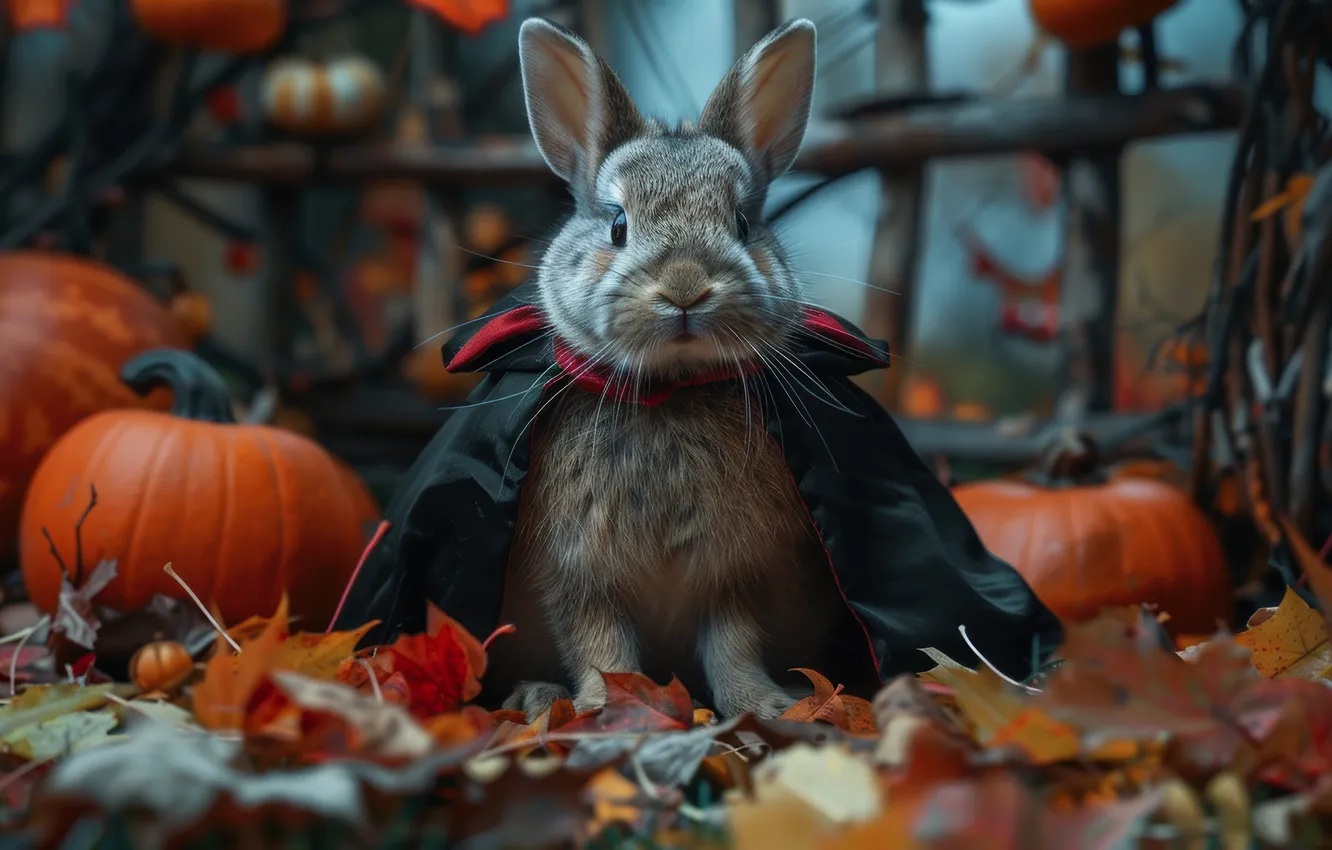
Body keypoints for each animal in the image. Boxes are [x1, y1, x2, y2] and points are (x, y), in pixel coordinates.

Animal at [483, 16, 860, 721]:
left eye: (742, 223)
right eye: (617, 226)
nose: (685, 287)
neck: (670, 390)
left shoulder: (738, 574)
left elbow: (734, 643)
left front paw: (763, 703)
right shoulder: (576, 572)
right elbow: (599, 646)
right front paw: (604, 708)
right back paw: (538, 697)